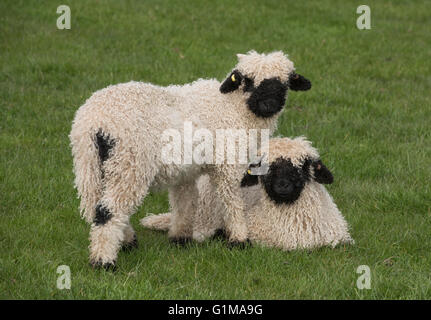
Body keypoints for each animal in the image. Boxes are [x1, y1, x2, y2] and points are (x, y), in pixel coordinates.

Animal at [69, 50, 312, 268]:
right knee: (108, 211)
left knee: (94, 205)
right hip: (130, 163)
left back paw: (123, 241)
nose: (268, 105)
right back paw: (104, 261)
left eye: (284, 84)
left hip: (89, 164)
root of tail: (96, 123)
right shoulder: (229, 162)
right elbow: (233, 202)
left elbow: (185, 202)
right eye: (247, 81)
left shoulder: (185, 172)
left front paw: (180, 238)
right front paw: (240, 240)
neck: (234, 108)